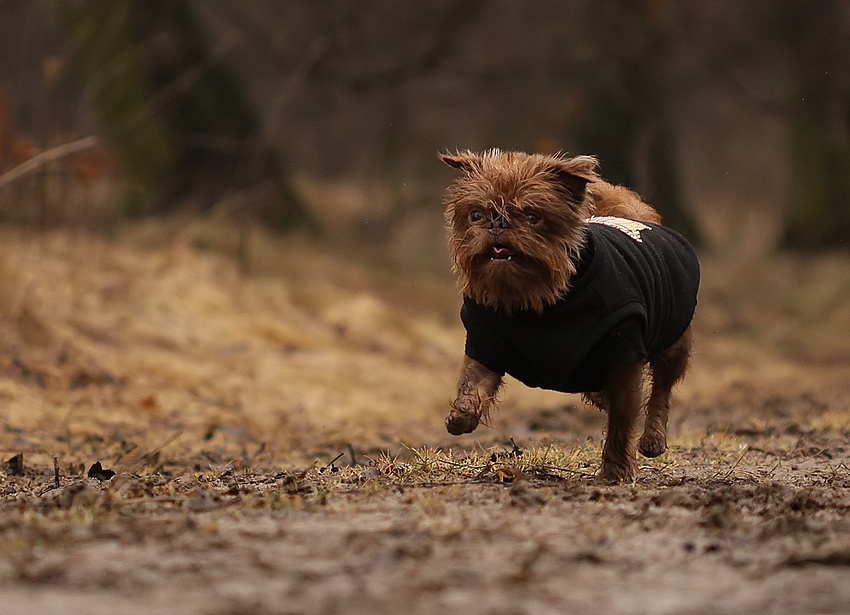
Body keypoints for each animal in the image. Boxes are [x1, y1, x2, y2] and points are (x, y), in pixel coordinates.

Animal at [438, 148, 696, 482]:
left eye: (532, 217)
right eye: (476, 215)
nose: (498, 224)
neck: (535, 301)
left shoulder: (624, 358)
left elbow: (622, 420)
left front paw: (615, 470)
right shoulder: (486, 347)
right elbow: (471, 385)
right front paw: (462, 416)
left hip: (673, 343)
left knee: (662, 389)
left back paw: (653, 438)